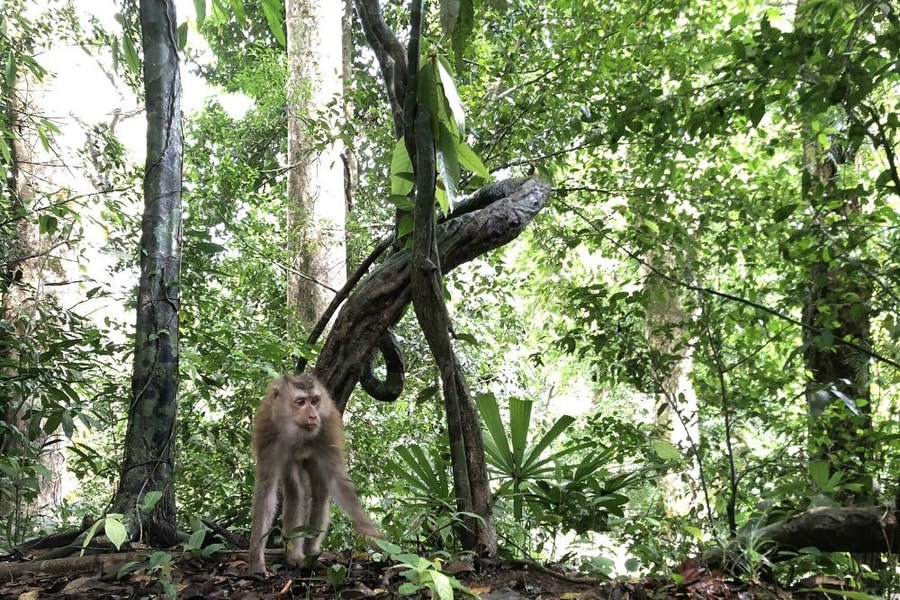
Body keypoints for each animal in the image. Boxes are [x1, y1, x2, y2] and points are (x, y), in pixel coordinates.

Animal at [248, 372, 382, 576]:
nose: (313, 416)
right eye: (301, 402)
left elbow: (337, 480)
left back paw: (311, 551)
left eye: (315, 401)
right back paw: (295, 556)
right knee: (296, 491)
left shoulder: (326, 431)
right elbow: (266, 492)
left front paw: (367, 529)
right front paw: (257, 561)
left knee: (320, 494)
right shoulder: (269, 436)